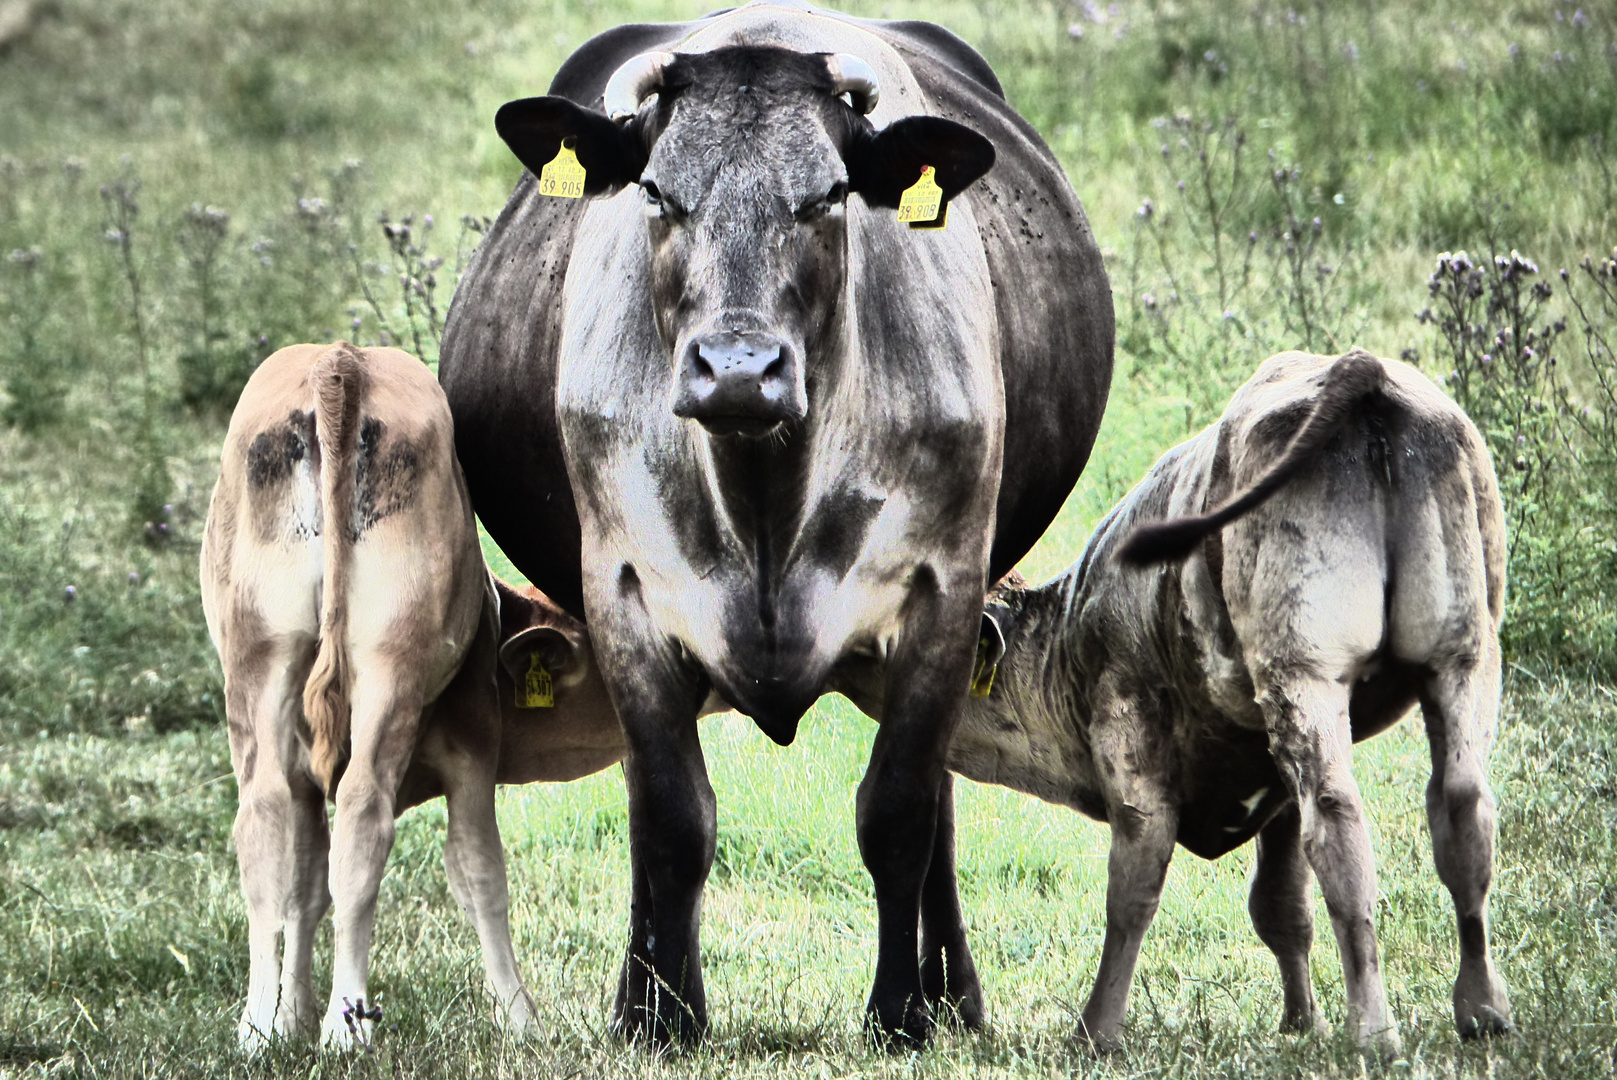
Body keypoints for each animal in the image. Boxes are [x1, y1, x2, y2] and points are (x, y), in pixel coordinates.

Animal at [200, 344, 624, 1047]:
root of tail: (339, 363)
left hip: (261, 655)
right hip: (387, 664)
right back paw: (347, 1026)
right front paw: (522, 1020)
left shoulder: (303, 766)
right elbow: (479, 872)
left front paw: (291, 1015)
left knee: (263, 818)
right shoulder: (475, 748)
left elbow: (305, 885)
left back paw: (258, 1029)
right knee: (364, 813)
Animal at [944, 352, 1513, 1054]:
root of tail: (1360, 368)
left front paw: (1096, 1031)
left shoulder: (1130, 730)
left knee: (1340, 823)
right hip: (1463, 656)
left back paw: (1373, 1033)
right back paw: (1483, 1011)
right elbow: (1281, 905)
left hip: (1305, 670)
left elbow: (1133, 888)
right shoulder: (1271, 783)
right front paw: (1300, 1021)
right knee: (1463, 812)